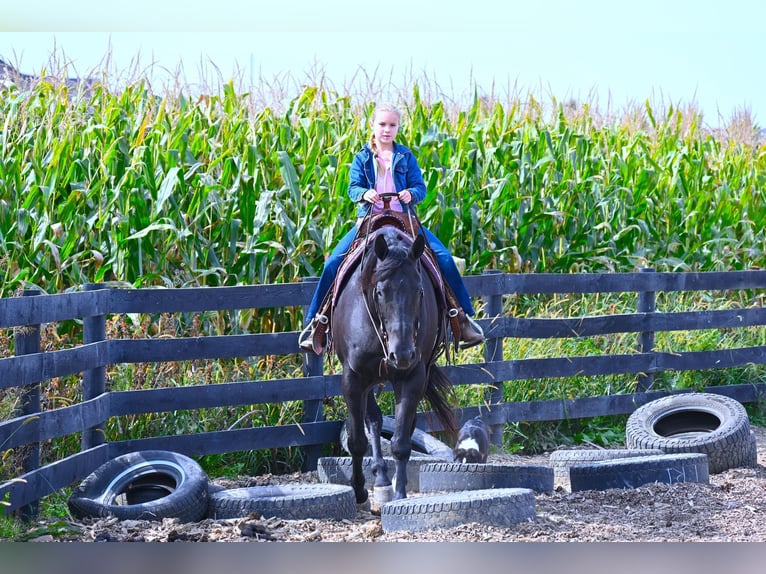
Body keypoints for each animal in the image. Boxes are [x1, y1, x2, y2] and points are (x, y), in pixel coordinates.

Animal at [334, 227, 456, 506]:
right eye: (380, 292)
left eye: (420, 291)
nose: (401, 355)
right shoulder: (353, 378)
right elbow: (357, 441)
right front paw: (359, 491)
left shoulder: (413, 377)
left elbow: (401, 442)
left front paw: (400, 494)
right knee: (373, 421)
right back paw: (379, 479)